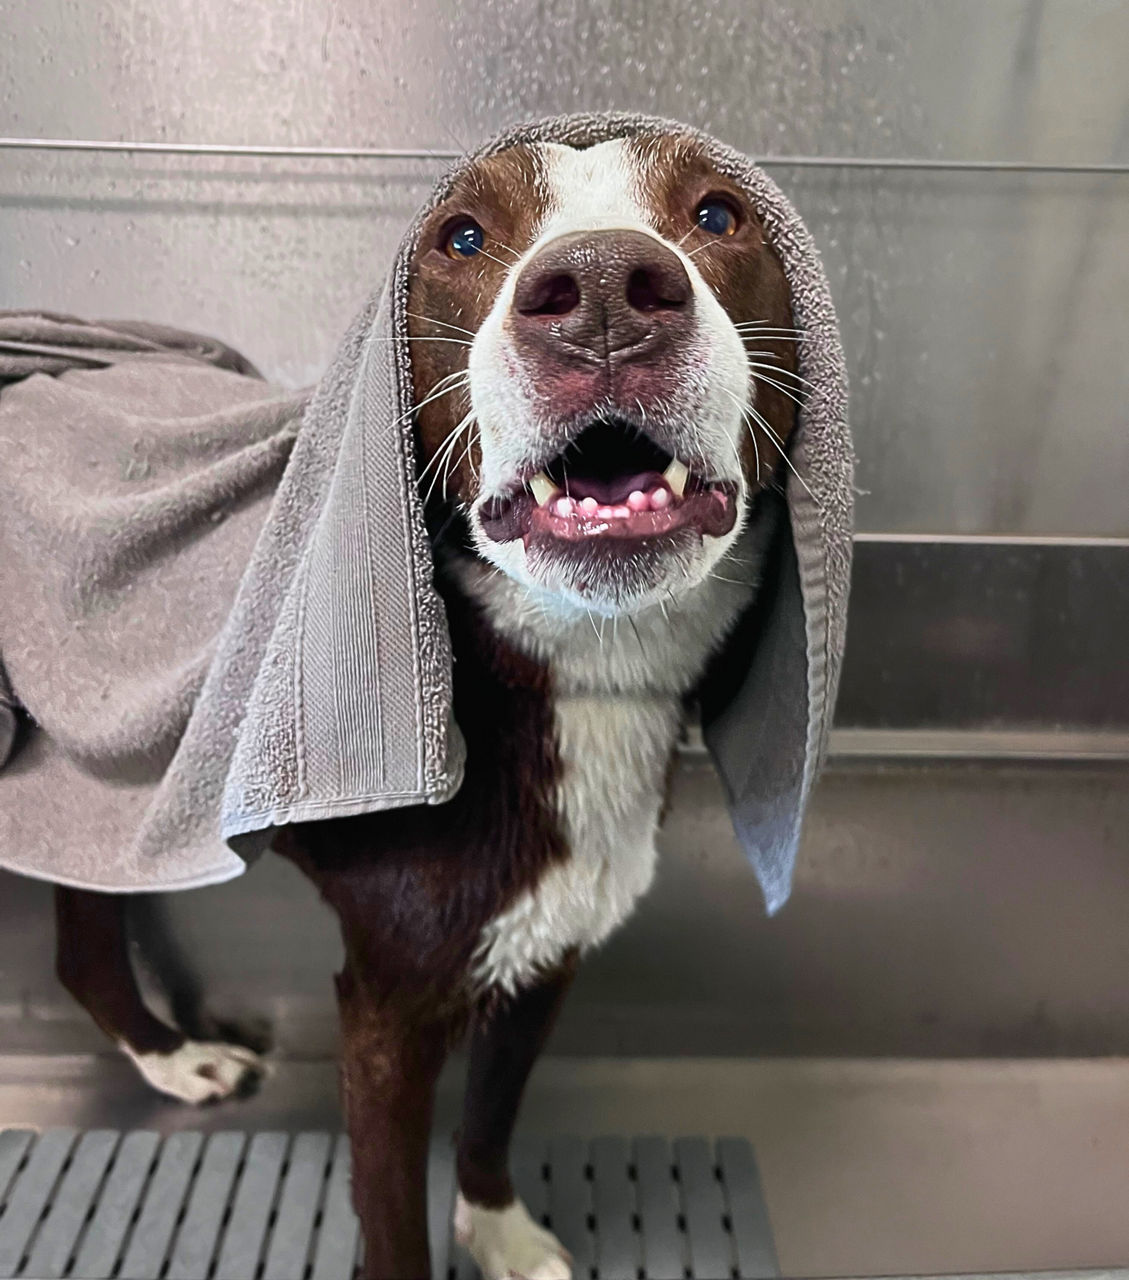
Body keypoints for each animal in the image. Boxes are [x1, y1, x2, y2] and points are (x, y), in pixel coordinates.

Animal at [52, 132, 793, 1280]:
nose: (602, 294)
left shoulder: (544, 952)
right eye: (461, 235)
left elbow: (491, 1112)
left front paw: (500, 1230)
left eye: (719, 213)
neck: (558, 671)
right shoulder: (384, 1015)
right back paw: (176, 1059)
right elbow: (391, 1214)